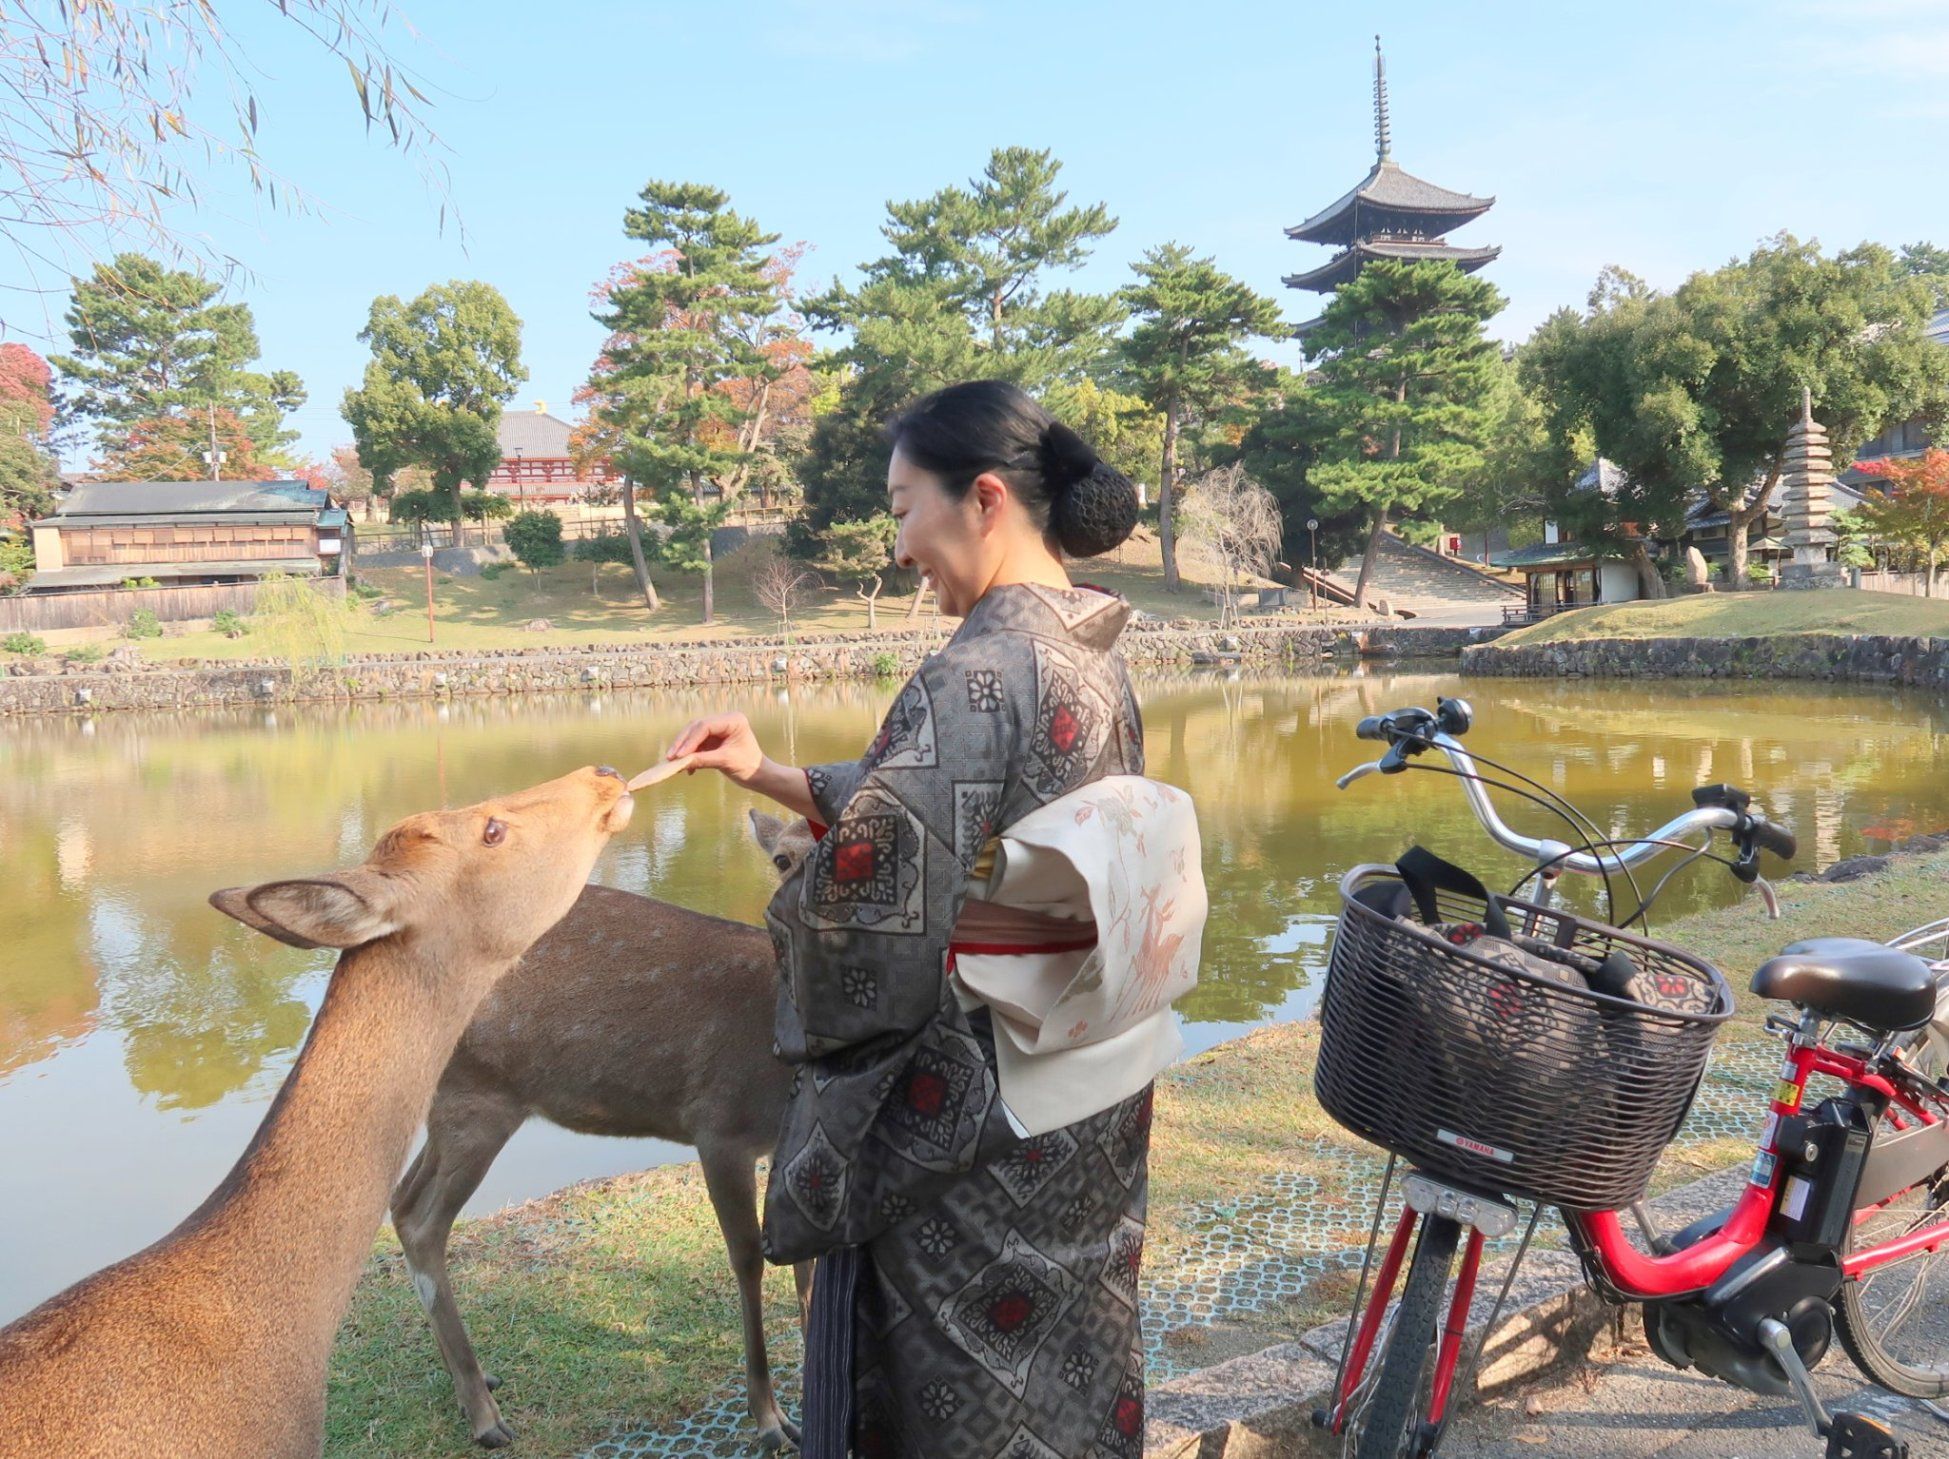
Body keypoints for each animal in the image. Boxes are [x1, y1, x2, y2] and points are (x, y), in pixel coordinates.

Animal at [391, 806, 818, 1449]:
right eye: (782, 858)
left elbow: (806, 1260)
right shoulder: (719, 1124)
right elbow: (747, 1257)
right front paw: (771, 1420)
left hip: (455, 1102)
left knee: (400, 1199)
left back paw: (476, 1383)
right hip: (478, 1096)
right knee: (422, 1220)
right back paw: (485, 1418)